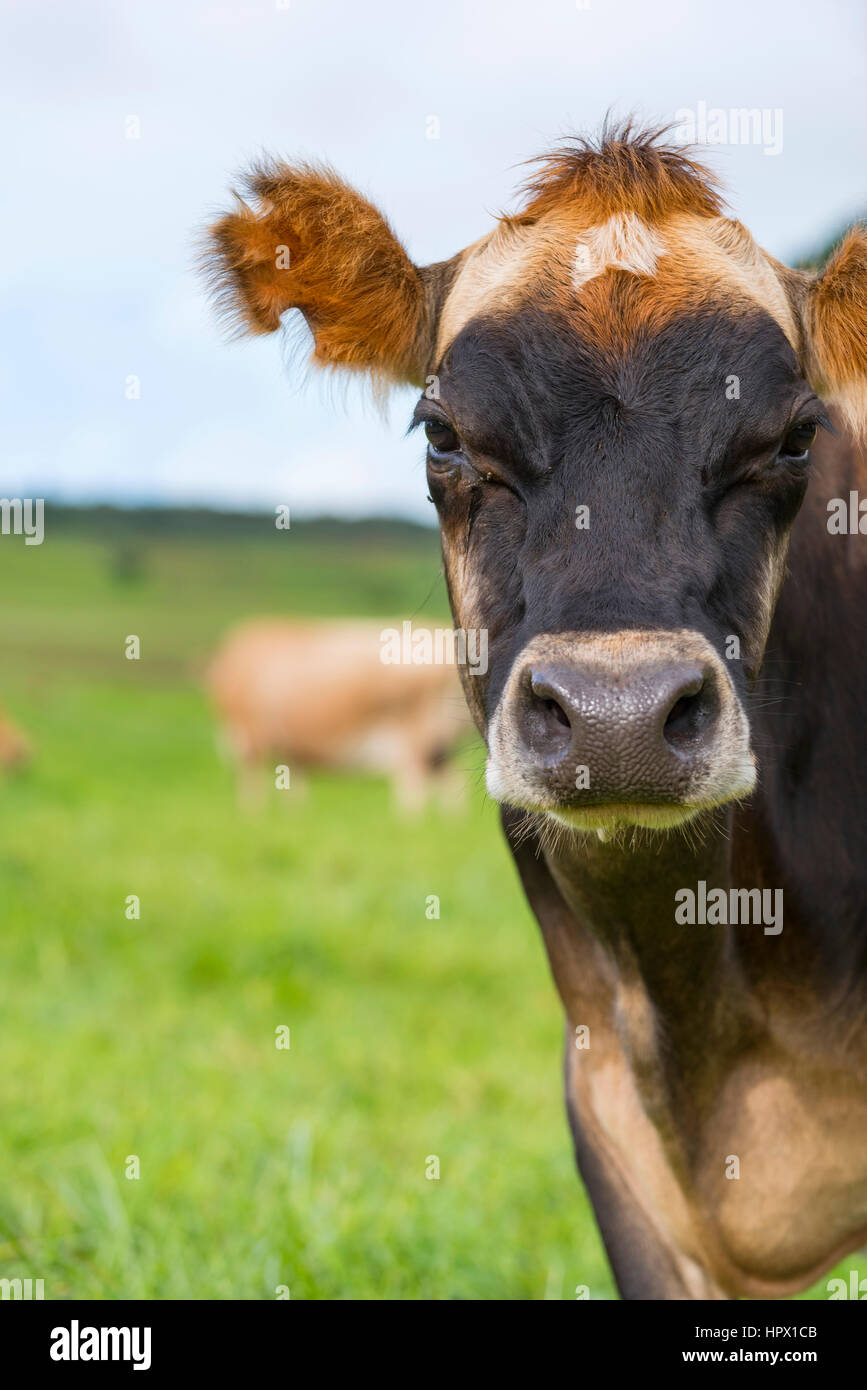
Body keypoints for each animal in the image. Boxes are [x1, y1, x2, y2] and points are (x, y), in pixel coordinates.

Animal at [207, 618, 471, 809]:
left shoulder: (251, 733)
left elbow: (253, 783)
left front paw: (253, 815)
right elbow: (293, 785)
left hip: (416, 736)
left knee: (415, 785)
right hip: (438, 742)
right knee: (448, 784)